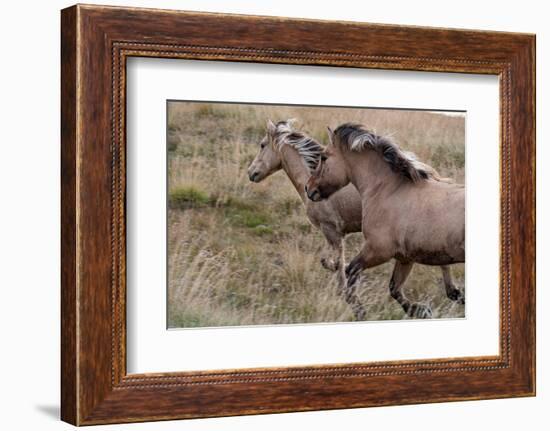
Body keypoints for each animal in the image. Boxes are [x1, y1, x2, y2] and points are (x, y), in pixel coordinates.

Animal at [250, 120, 462, 318]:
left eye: (262, 145)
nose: (251, 173)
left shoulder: (333, 232)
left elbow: (336, 265)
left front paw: (352, 300)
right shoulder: (337, 235)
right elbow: (328, 261)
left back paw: (452, 294)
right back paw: (454, 293)